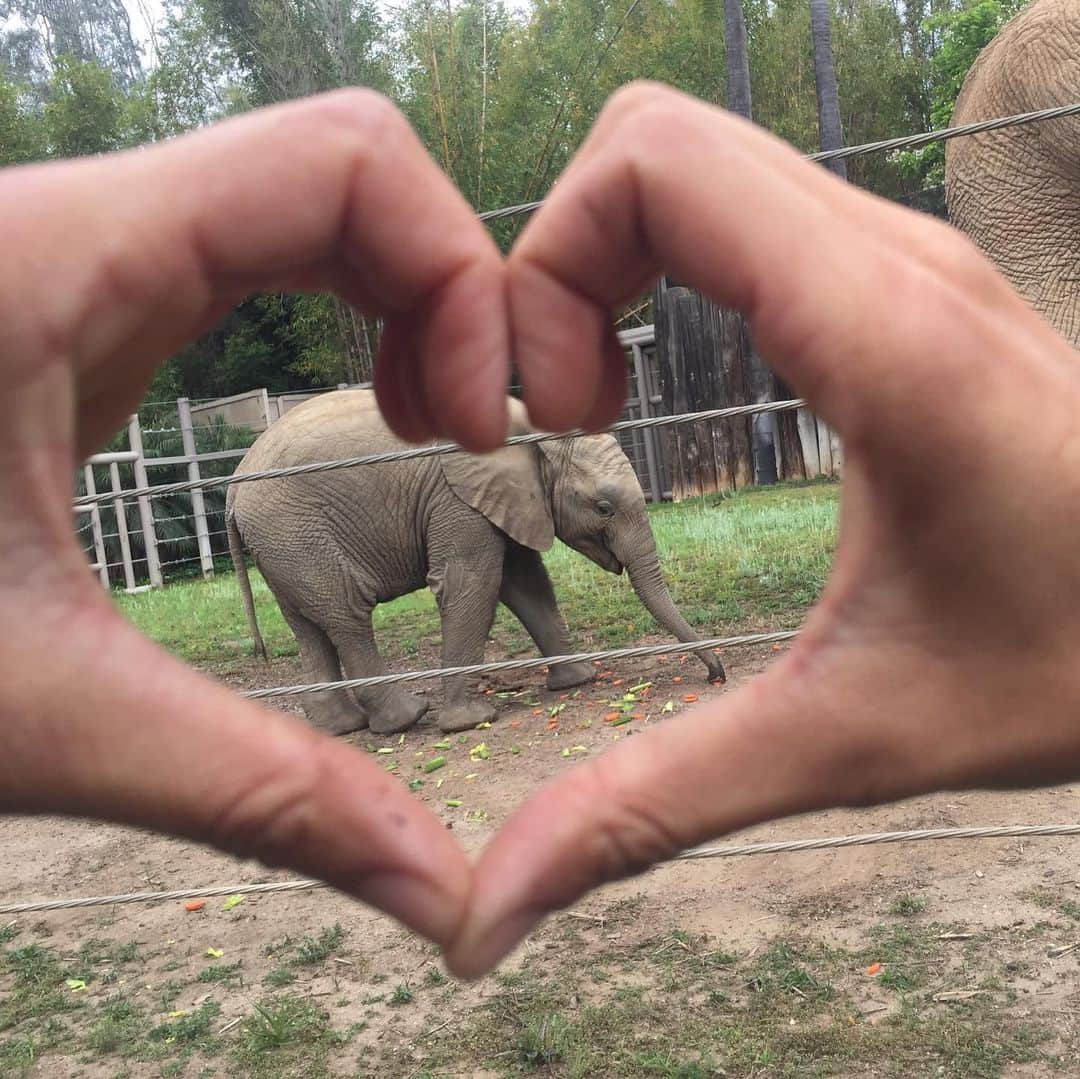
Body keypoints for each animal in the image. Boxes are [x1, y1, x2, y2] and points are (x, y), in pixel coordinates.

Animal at [223, 393, 721, 738]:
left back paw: (341, 728)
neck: (529, 428)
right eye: (603, 508)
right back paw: (407, 718)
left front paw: (577, 681)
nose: (716, 676)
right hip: (294, 530)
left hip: (283, 544)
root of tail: (233, 485)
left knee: (308, 626)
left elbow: (525, 582)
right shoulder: (456, 500)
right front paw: (470, 721)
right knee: (347, 612)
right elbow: (472, 583)